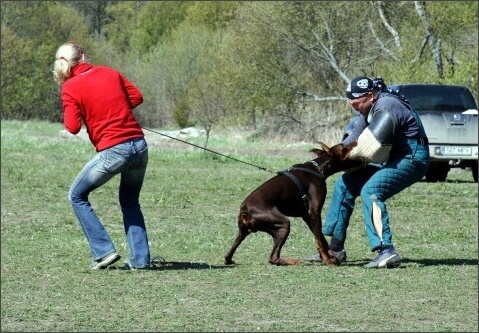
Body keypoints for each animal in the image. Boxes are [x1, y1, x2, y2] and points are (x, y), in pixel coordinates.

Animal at [225, 141, 360, 266]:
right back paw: (294, 261)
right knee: (273, 258)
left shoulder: (307, 216)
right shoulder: (314, 212)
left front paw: (331, 256)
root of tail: (245, 210)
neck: (319, 168)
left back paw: (229, 260)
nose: (356, 142)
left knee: (228, 254)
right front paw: (327, 260)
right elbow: (319, 240)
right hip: (283, 224)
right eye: (344, 147)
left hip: (243, 231)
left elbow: (321, 238)